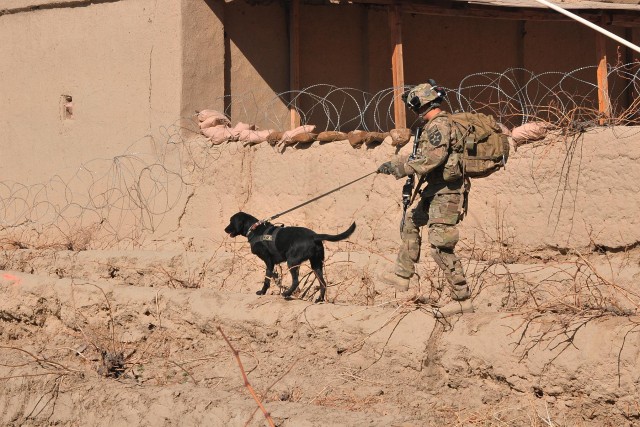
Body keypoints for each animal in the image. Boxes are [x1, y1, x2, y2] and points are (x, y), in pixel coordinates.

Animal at [224, 212, 356, 302]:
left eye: (231, 221)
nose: (225, 229)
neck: (254, 229)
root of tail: (314, 236)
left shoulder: (268, 261)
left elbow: (266, 279)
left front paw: (262, 292)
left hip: (292, 261)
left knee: (296, 281)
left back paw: (286, 294)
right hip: (316, 264)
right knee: (323, 283)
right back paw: (319, 300)